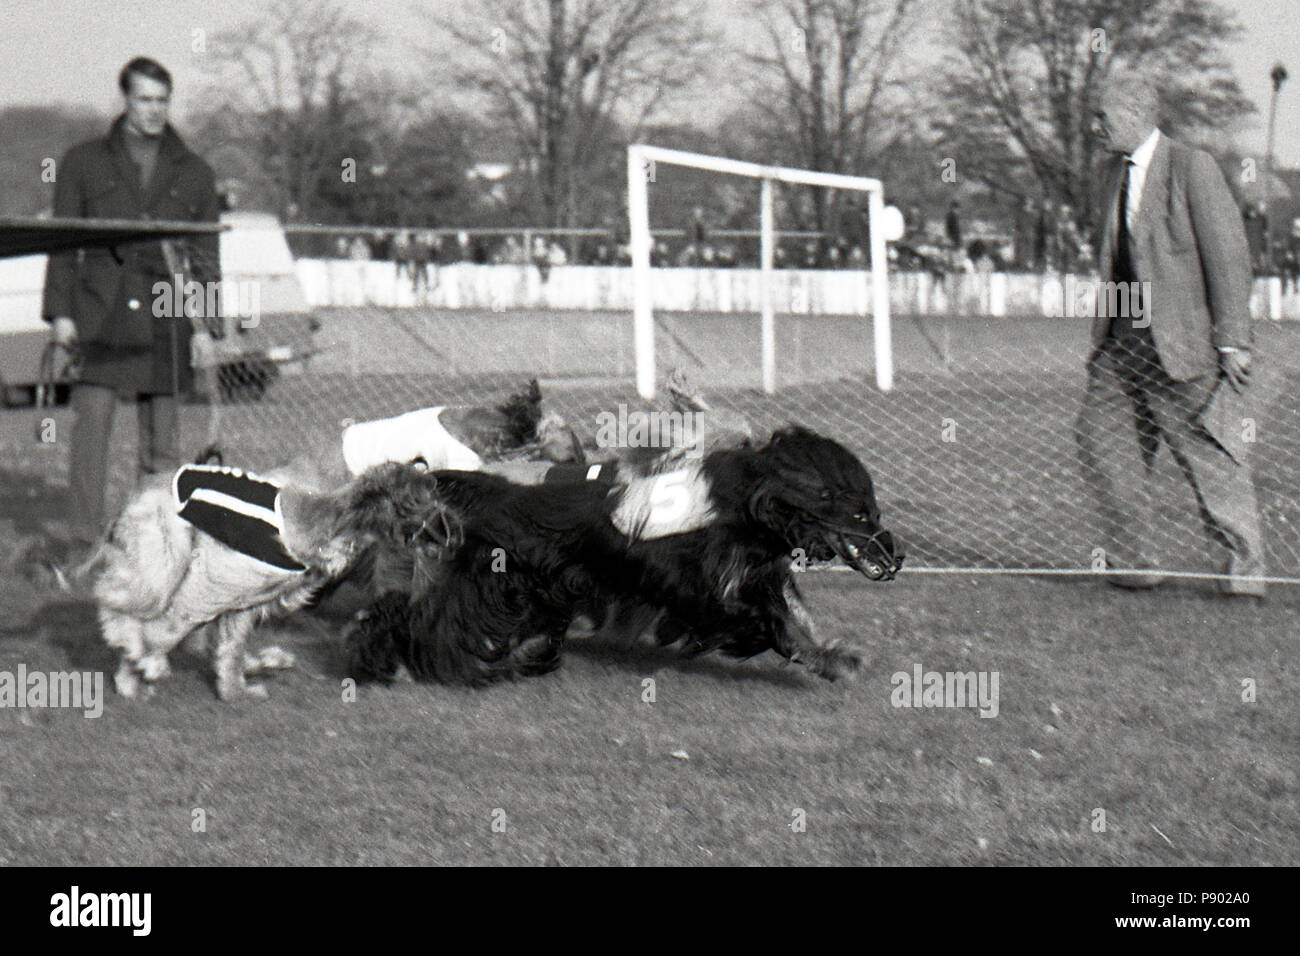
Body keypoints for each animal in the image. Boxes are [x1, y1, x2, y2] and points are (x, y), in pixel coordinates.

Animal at [343, 429, 904, 686]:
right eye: (861, 513)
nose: (895, 556)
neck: (748, 503)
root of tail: (499, 491)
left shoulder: (755, 573)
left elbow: (796, 617)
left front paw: (836, 657)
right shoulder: (696, 584)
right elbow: (767, 623)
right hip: (494, 585)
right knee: (426, 621)